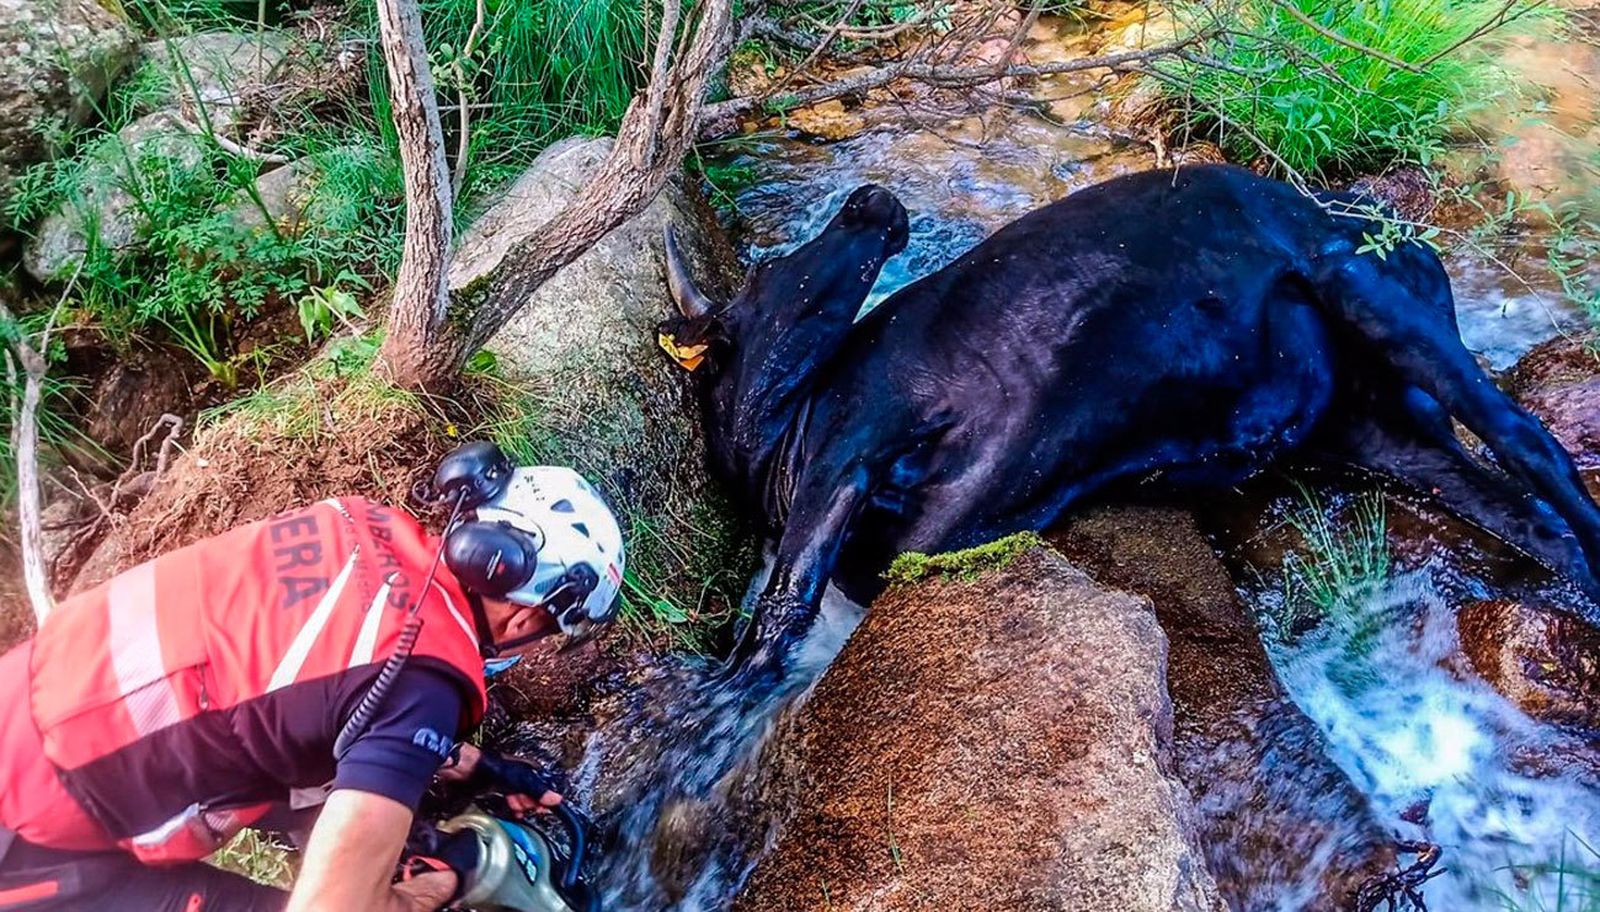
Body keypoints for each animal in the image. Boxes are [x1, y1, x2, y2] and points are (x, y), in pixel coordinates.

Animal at [656, 164, 1600, 672]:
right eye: (772, 267)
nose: (871, 199)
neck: (783, 439)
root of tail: (1395, 227)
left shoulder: (853, 445)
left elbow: (783, 607)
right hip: (1381, 427)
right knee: (1528, 518)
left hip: (1355, 282)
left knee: (1536, 444)